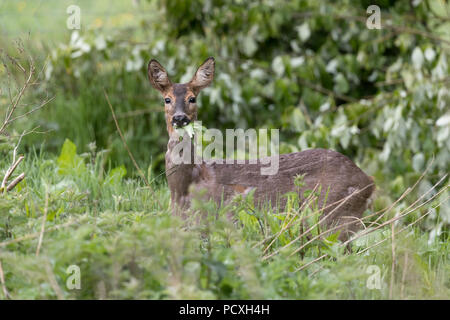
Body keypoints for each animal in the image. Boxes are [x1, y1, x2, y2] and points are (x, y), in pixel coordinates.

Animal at [149, 56, 374, 239]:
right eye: (167, 99)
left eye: (192, 98)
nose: (180, 118)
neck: (186, 188)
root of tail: (368, 181)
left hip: (335, 217)